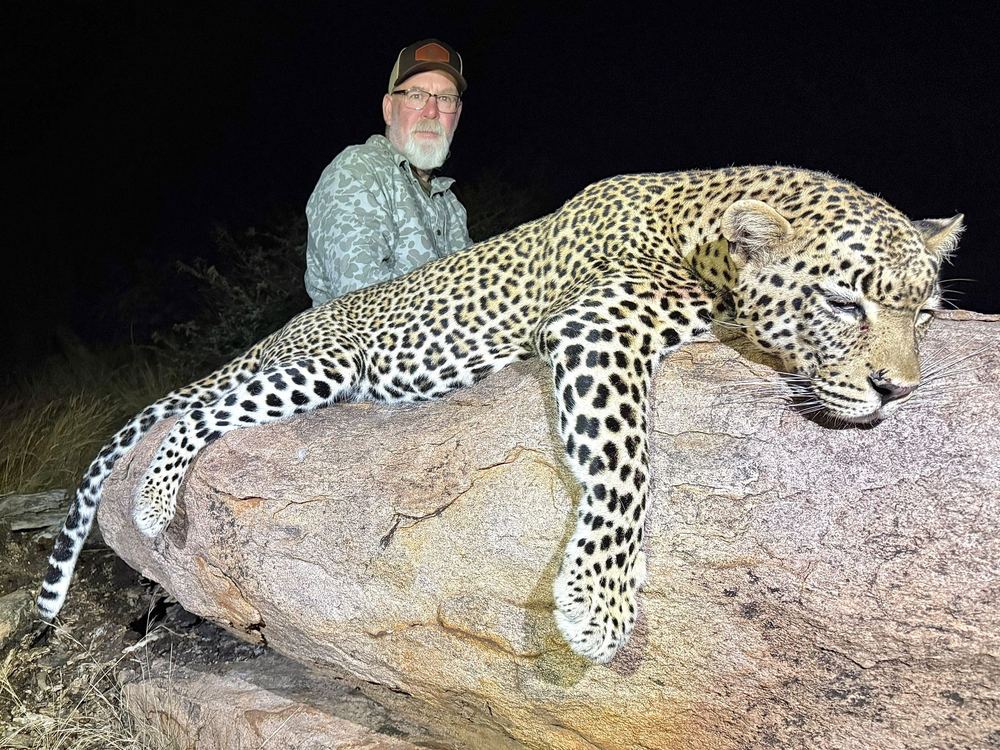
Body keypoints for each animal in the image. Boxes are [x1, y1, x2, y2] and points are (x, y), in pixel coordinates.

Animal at [37, 166, 963, 663]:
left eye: (923, 315)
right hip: (325, 367)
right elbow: (626, 463)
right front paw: (599, 603)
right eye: (843, 304)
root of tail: (282, 328)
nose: (901, 390)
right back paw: (155, 497)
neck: (704, 239)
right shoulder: (594, 327)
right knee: (203, 411)